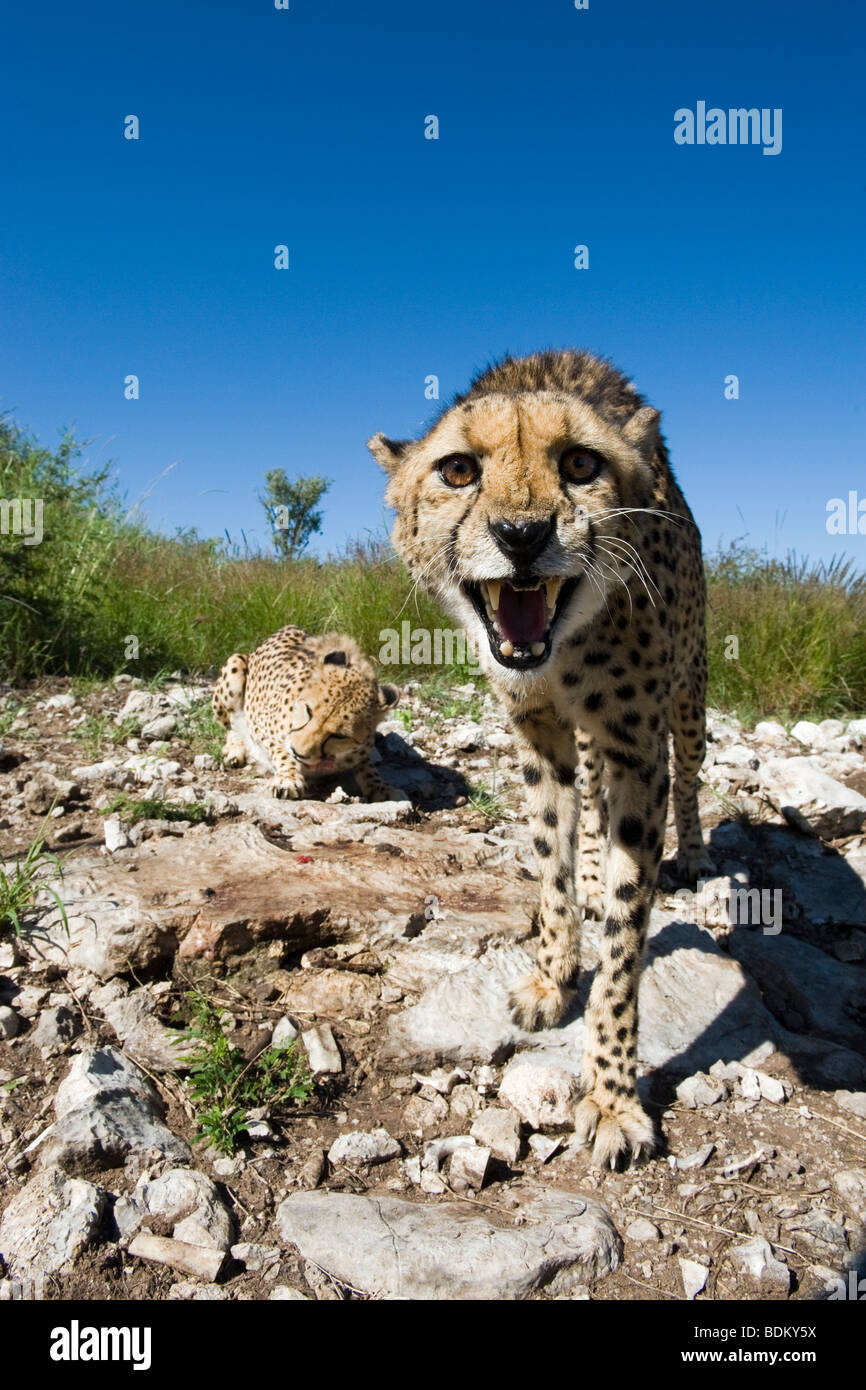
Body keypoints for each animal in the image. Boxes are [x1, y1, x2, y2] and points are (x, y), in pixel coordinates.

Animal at [215, 631, 397, 806]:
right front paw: (288, 779)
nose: (298, 752)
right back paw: (235, 749)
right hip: (235, 665)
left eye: (340, 736)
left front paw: (380, 787)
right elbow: (281, 751)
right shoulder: (259, 726)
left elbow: (366, 764)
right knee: (231, 724)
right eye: (309, 711)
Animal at [369, 344, 717, 1162]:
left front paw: (614, 1096)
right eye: (458, 469)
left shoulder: (636, 747)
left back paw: (688, 853)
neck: (563, 650)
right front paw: (554, 976)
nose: (522, 534)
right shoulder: (541, 733)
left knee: (691, 773)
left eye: (582, 463)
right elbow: (552, 863)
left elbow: (626, 940)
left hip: (688, 699)